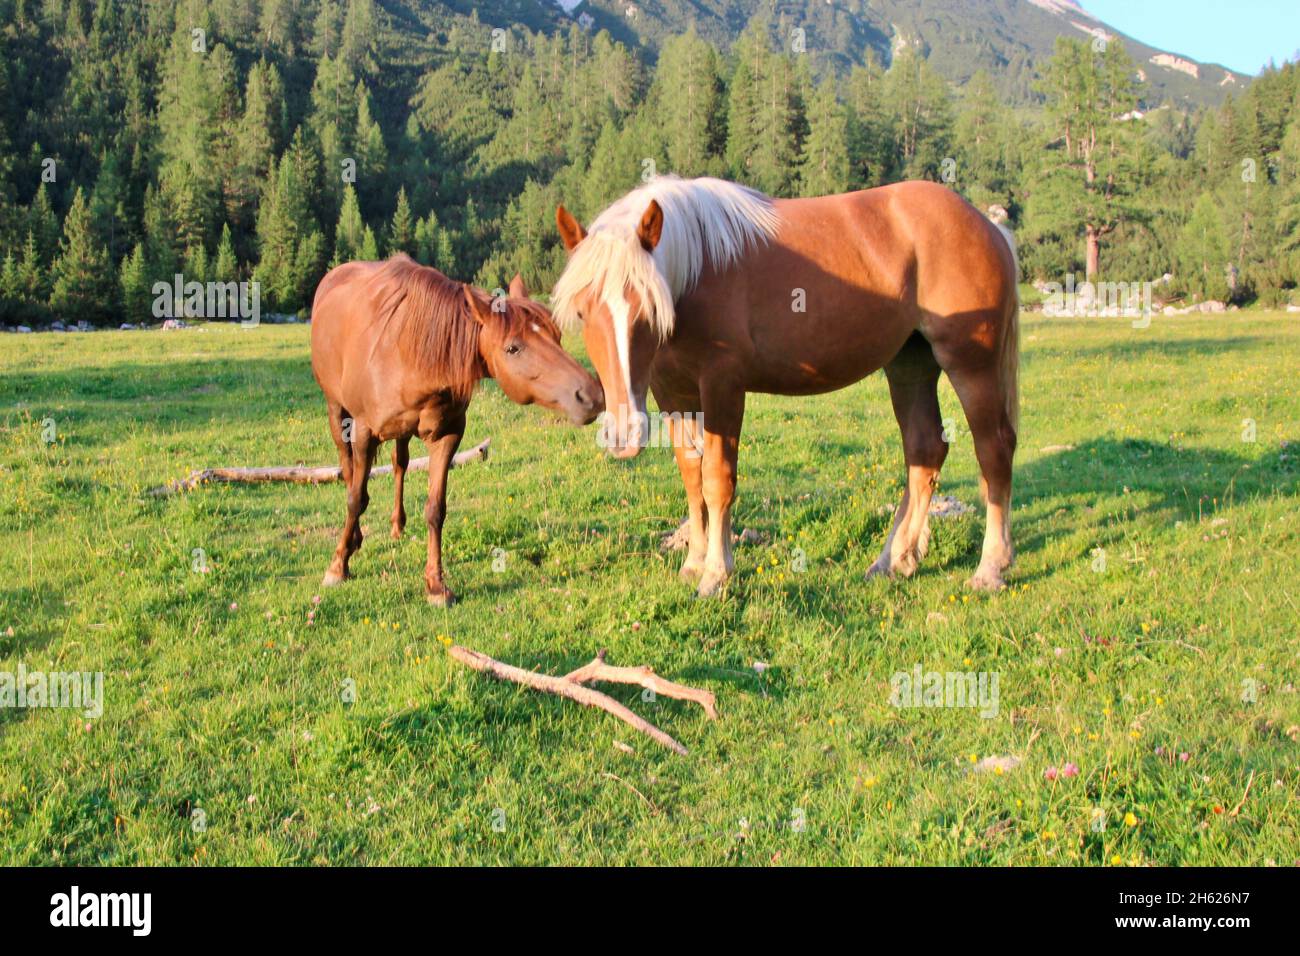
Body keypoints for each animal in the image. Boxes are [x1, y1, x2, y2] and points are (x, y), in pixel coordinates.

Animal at [312, 254, 600, 606]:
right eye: (513, 348)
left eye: (557, 335)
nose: (591, 395)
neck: (410, 349)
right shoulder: (365, 430)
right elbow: (356, 498)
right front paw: (338, 565)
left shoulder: (447, 436)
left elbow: (435, 509)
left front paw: (436, 585)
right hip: (337, 412)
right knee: (349, 468)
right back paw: (353, 539)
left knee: (399, 464)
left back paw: (396, 526)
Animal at [553, 176, 1019, 595]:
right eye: (583, 310)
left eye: (648, 309)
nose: (623, 436)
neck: (696, 269)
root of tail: (986, 225)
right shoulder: (673, 394)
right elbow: (691, 476)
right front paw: (694, 562)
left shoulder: (723, 386)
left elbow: (717, 479)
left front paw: (716, 574)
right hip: (909, 364)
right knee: (924, 451)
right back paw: (895, 560)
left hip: (970, 365)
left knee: (993, 450)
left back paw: (990, 568)